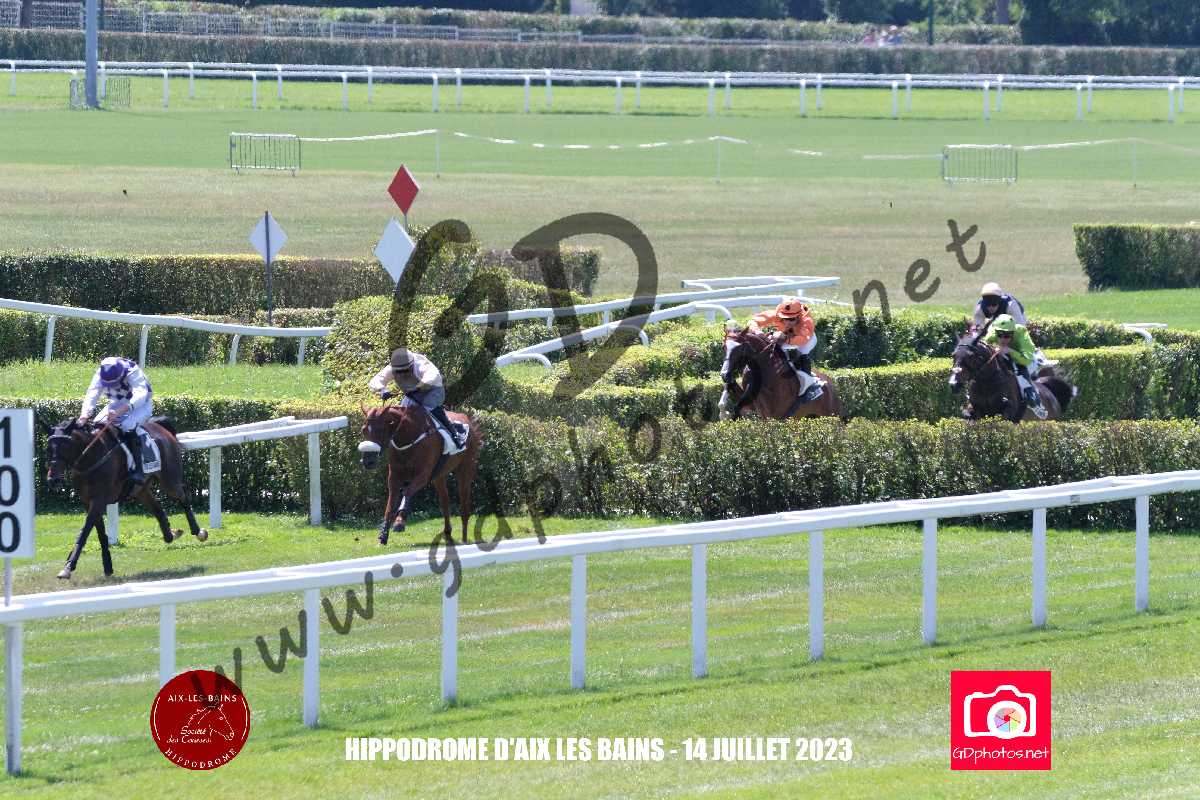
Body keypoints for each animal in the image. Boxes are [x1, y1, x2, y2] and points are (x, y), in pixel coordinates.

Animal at [45, 417, 207, 579]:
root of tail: (160, 426)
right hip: (141, 490)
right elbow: (100, 534)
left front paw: (68, 567)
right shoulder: (88, 502)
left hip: (169, 481)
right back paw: (172, 534)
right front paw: (107, 566)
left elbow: (84, 532)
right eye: (49, 447)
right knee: (159, 510)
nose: (53, 479)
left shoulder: (98, 501)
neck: (92, 457)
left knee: (184, 498)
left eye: (65, 445)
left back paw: (198, 532)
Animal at [357, 402, 483, 546]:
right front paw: (383, 536)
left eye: (380, 430)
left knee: (464, 503)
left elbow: (407, 492)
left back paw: (464, 538)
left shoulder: (423, 475)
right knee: (445, 501)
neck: (408, 437)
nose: (368, 461)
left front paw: (399, 522)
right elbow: (390, 505)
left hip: (465, 469)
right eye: (363, 430)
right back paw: (447, 533)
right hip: (439, 476)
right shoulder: (394, 477)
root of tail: (469, 422)